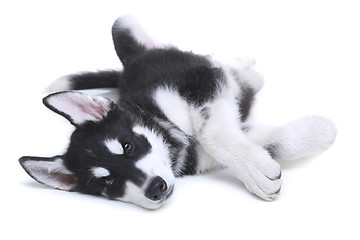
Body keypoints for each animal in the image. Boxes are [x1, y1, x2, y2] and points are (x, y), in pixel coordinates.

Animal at [19, 15, 334, 209]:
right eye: (107, 181)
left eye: (127, 146)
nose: (155, 188)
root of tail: (128, 69)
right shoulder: (206, 151)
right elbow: (267, 141)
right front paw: (317, 133)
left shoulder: (200, 82)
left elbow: (212, 134)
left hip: (124, 25)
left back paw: (246, 70)